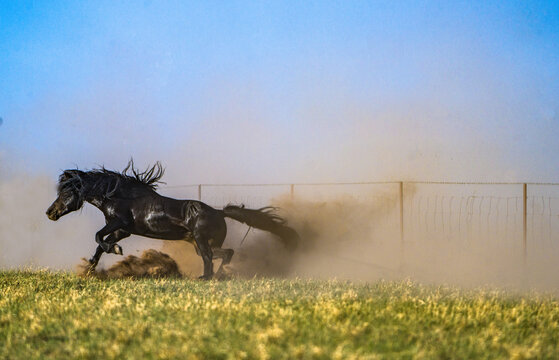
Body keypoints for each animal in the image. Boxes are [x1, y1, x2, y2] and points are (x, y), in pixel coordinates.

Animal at [44, 160, 298, 278]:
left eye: (65, 193)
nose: (50, 213)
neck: (119, 195)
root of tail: (219, 212)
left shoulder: (120, 224)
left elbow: (98, 236)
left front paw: (115, 250)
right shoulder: (123, 230)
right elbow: (99, 245)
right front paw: (89, 268)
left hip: (201, 241)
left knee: (209, 258)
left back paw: (207, 278)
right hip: (202, 243)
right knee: (225, 254)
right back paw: (221, 275)